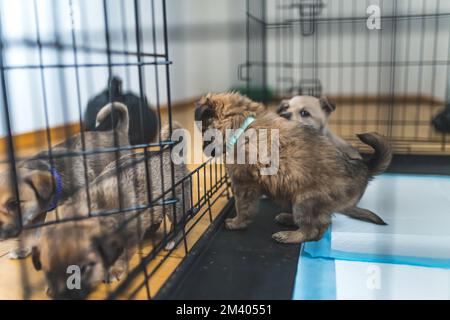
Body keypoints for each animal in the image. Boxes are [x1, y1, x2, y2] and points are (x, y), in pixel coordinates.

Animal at [28, 122, 190, 300]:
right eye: (47, 273)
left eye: (81, 270)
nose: (62, 296)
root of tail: (168, 153)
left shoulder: (129, 236)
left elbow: (122, 255)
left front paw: (113, 270)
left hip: (176, 204)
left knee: (180, 223)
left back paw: (172, 240)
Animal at [195, 92, 392, 245]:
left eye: (205, 135)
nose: (203, 150)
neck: (242, 124)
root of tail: (362, 169)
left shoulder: (244, 184)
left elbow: (242, 207)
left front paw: (236, 223)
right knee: (319, 225)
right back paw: (287, 219)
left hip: (305, 201)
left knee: (312, 230)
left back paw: (289, 236)